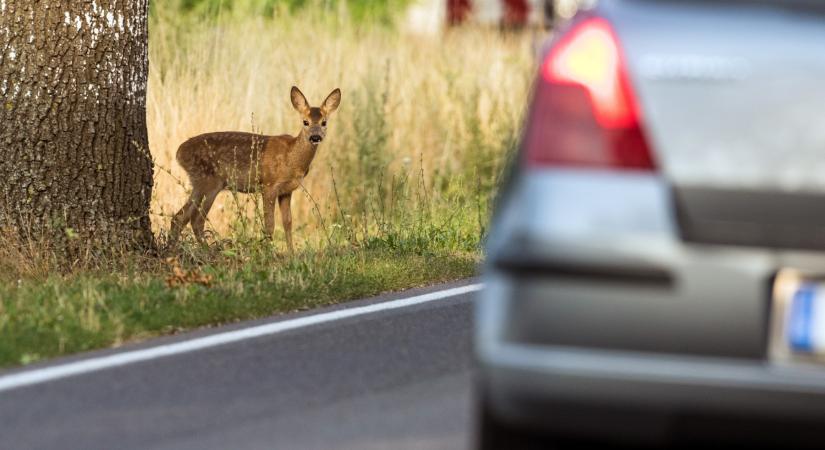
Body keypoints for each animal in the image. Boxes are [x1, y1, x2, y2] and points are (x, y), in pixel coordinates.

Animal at [169, 85, 340, 253]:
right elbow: (270, 225)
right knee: (197, 219)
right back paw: (208, 251)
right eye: (305, 122)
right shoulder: (269, 185)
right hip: (210, 182)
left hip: (199, 183)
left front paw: (291, 254)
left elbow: (288, 223)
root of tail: (179, 153)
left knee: (180, 217)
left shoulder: (286, 191)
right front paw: (269, 253)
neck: (291, 158)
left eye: (324, 122)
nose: (315, 137)